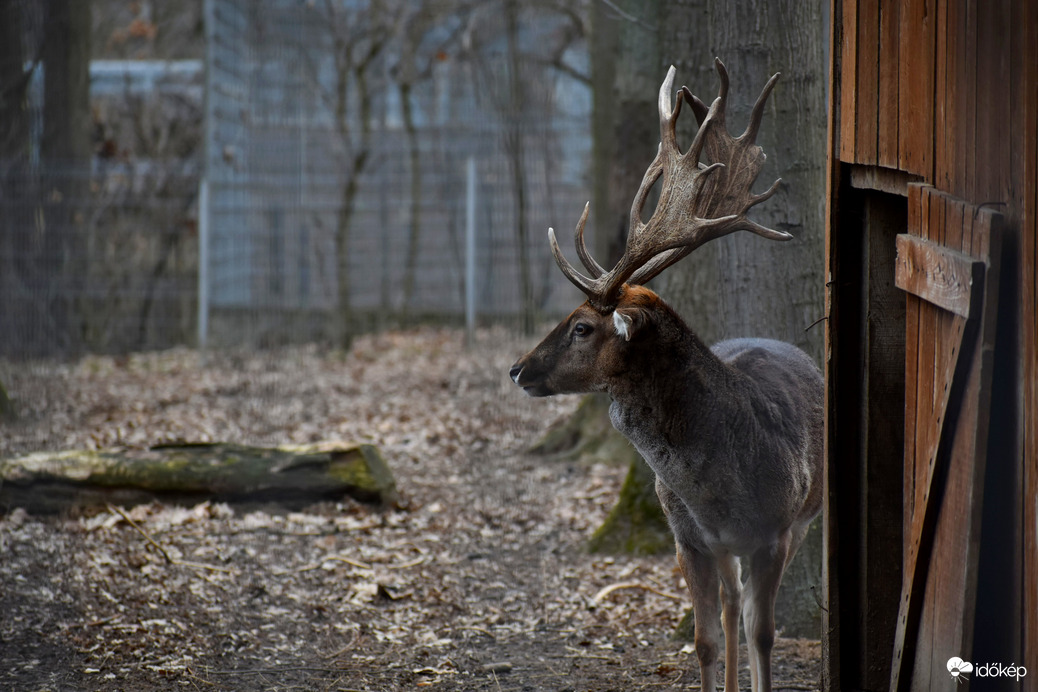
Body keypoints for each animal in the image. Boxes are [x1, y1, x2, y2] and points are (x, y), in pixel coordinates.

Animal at [508, 60, 817, 692]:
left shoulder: (776, 531)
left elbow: (765, 634)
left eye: (582, 327)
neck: (722, 487)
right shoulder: (687, 536)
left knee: (746, 612)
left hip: (800, 519)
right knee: (729, 607)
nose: (518, 368)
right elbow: (703, 640)